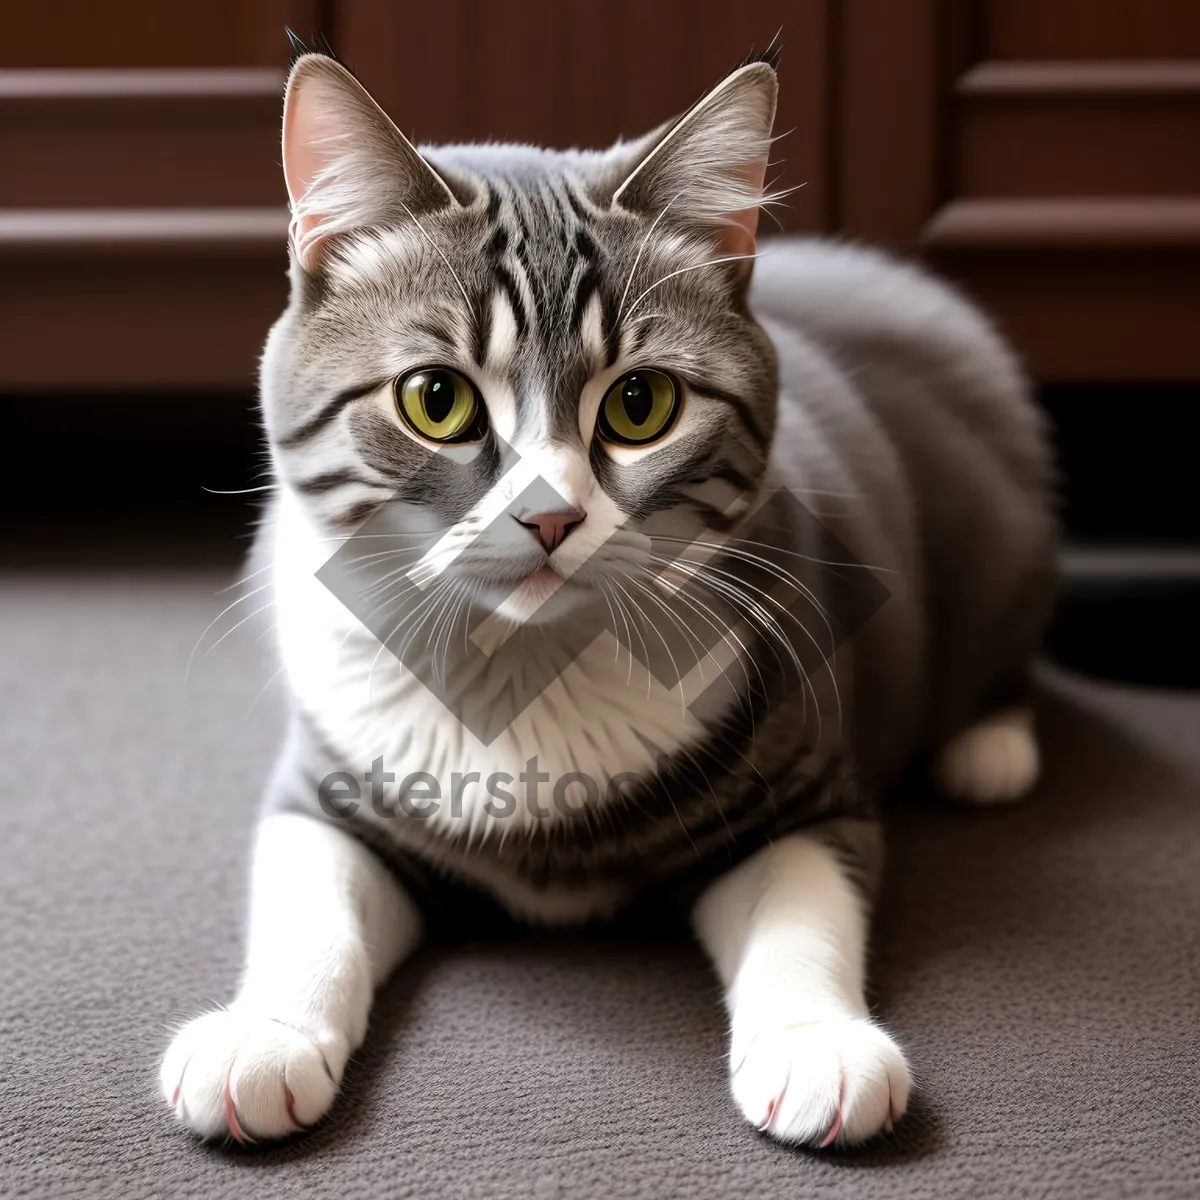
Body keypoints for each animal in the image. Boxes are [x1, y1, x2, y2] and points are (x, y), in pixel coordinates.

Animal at [162, 46, 1060, 1147]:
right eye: (435, 400)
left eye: (641, 403)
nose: (549, 517)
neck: (522, 671)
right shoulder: (326, 785)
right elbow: (308, 904)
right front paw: (262, 1035)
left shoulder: (805, 780)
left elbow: (802, 907)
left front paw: (817, 1045)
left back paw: (991, 748)